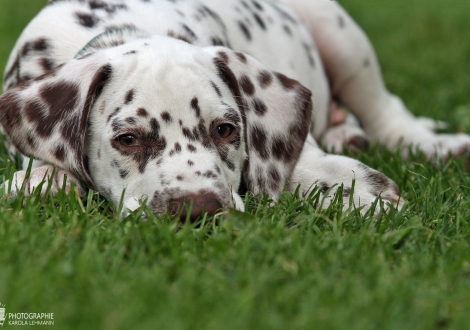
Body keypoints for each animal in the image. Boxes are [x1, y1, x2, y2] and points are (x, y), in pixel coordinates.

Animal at [0, 0, 466, 219]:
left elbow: (285, 155)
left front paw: (350, 190)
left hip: (340, 35)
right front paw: (37, 180)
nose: (198, 210)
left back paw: (432, 145)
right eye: (127, 139)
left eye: (225, 129)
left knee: (384, 108)